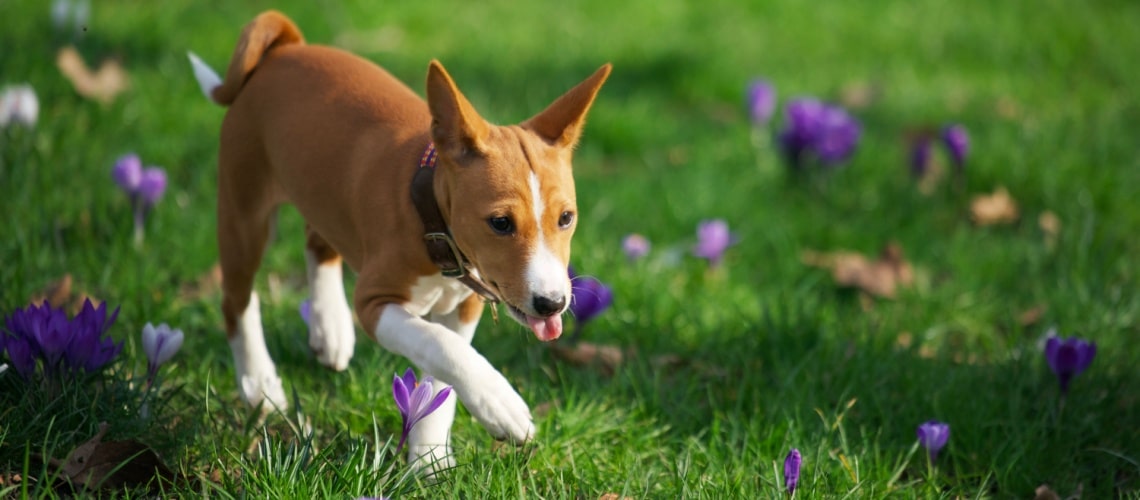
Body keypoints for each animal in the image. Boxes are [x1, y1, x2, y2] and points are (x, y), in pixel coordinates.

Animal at [189, 11, 615, 473]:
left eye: (566, 218)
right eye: (500, 223)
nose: (552, 304)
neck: (432, 224)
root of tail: (286, 49)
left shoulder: (465, 306)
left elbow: (440, 381)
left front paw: (429, 460)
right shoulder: (375, 303)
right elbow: (441, 347)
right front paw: (500, 405)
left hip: (319, 189)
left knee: (319, 240)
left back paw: (330, 325)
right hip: (244, 209)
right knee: (237, 300)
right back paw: (260, 385)